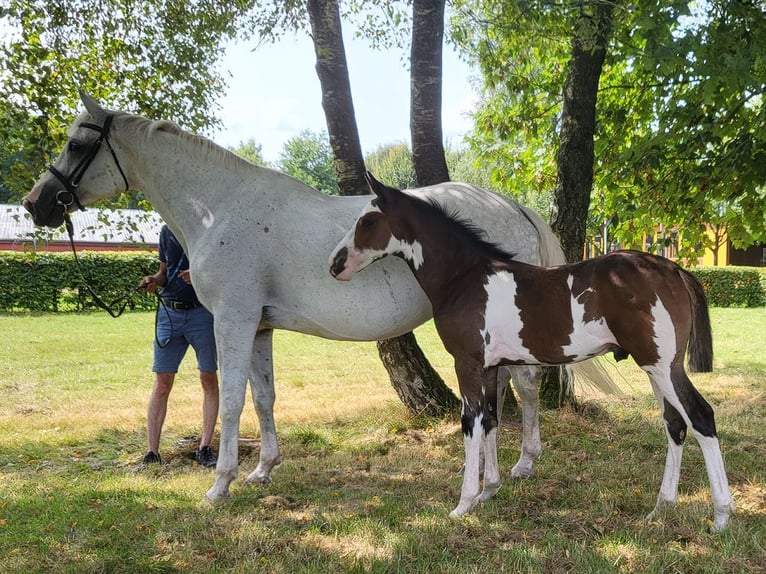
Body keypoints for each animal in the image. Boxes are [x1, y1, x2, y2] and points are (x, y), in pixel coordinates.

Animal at [22, 93, 612, 504]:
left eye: (78, 145)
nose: (35, 204)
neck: (220, 208)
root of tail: (511, 205)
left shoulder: (232, 321)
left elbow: (230, 401)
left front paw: (220, 484)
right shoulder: (259, 326)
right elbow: (263, 398)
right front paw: (263, 469)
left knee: (524, 387)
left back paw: (519, 465)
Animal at [332, 172, 736, 536]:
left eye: (367, 220)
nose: (335, 264)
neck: (464, 277)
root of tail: (672, 268)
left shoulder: (467, 363)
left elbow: (470, 423)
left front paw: (464, 503)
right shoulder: (492, 367)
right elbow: (491, 420)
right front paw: (490, 491)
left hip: (663, 367)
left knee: (700, 417)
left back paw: (720, 517)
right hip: (657, 369)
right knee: (675, 423)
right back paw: (661, 507)